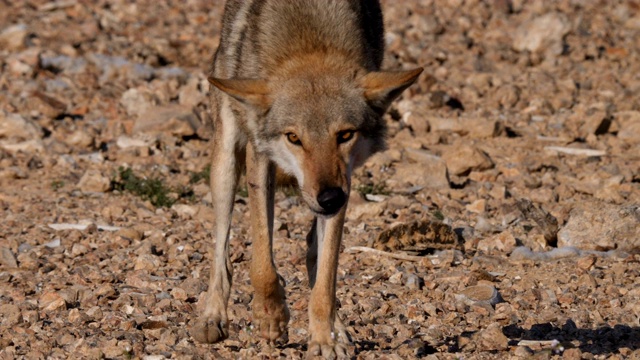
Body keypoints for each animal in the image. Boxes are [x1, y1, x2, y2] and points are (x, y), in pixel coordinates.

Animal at [190, 0, 420, 358]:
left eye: (345, 135)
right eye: (294, 138)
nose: (329, 198)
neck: (309, 42)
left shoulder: (344, 183)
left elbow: (325, 279)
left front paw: (325, 339)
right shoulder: (260, 160)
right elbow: (262, 265)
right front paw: (270, 317)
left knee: (314, 254)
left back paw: (337, 328)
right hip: (225, 164)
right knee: (221, 252)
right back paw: (213, 317)